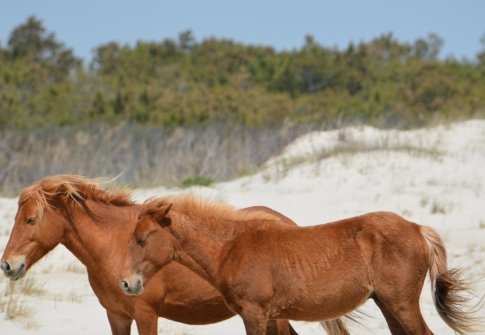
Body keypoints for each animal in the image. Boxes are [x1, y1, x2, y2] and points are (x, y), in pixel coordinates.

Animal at [0, 175, 352, 335]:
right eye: (16, 218)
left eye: (31, 219)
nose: (7, 265)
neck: (114, 247)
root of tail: (288, 225)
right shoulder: (117, 316)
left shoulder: (146, 315)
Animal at [120, 196, 480, 334]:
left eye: (143, 238)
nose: (127, 283)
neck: (232, 247)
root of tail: (416, 228)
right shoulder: (269, 316)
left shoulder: (254, 314)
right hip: (388, 304)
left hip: (401, 303)